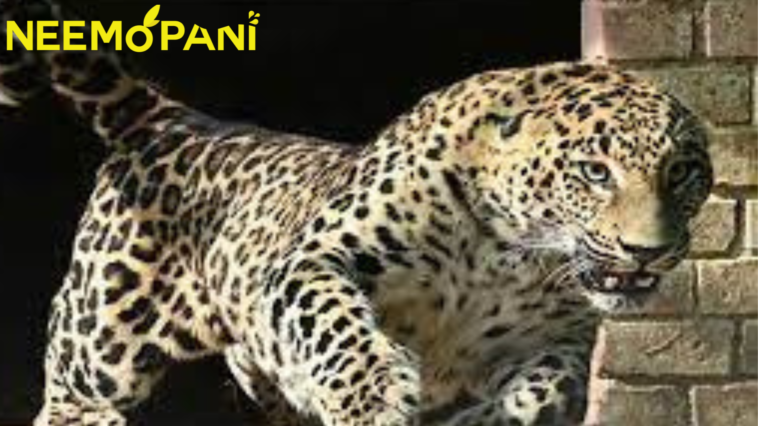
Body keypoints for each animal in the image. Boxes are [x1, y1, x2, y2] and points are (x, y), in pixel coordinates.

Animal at [0, 1, 713, 425]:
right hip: (99, 343)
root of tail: (170, 116)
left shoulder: (562, 338)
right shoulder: (313, 262)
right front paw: (375, 396)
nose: (649, 250)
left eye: (682, 172)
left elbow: (547, 389)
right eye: (595, 172)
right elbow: (337, 325)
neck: (506, 254)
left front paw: (480, 419)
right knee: (71, 395)